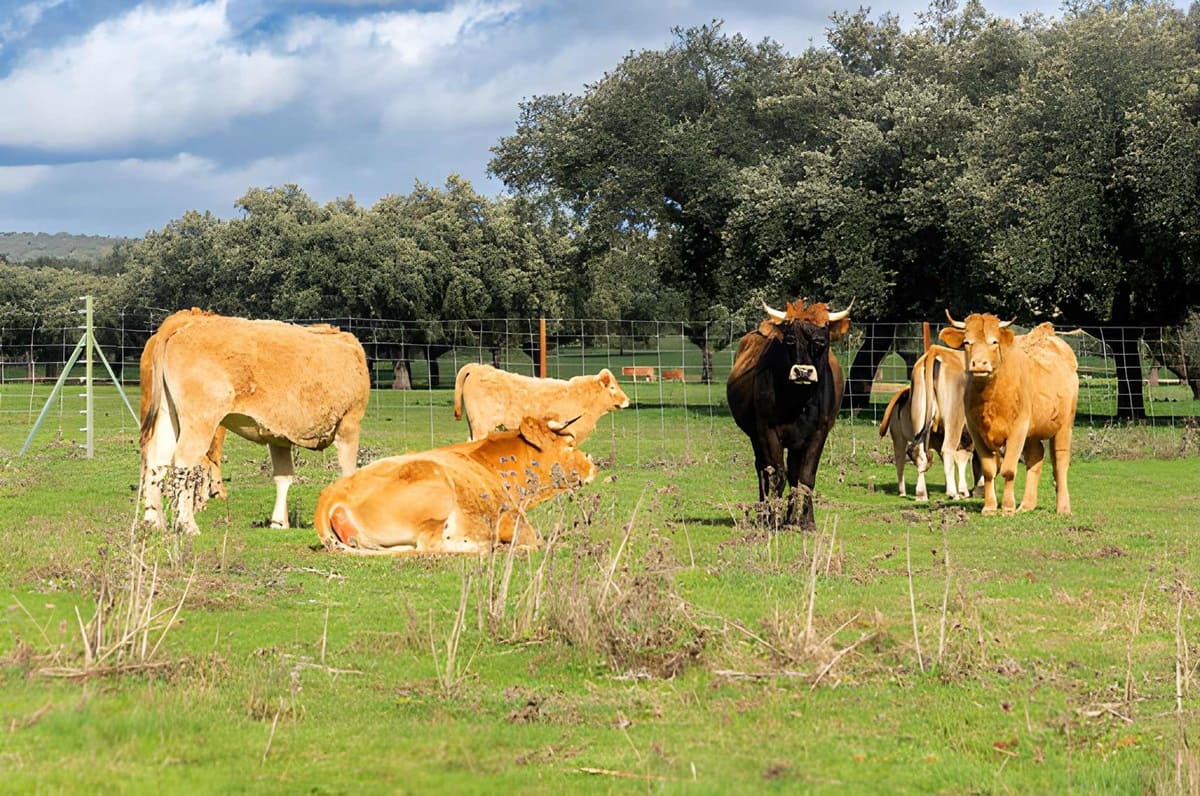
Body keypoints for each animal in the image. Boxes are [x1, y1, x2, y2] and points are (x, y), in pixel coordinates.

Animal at [140, 310, 370, 535]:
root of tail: (189, 320)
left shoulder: (278, 437)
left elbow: (284, 477)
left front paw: (279, 523)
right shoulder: (350, 424)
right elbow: (348, 474)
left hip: (167, 415)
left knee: (156, 461)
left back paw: (153, 521)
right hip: (200, 421)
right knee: (183, 462)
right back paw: (187, 525)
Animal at [313, 416, 596, 555]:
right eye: (570, 444)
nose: (593, 466)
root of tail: (333, 491)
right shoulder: (512, 519)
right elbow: (533, 539)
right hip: (437, 497)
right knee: (430, 546)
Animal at [726, 299, 851, 531]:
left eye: (821, 341)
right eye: (791, 340)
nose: (803, 372)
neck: (798, 401)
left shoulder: (818, 433)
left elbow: (806, 477)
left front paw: (806, 522)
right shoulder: (767, 431)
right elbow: (776, 475)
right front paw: (772, 518)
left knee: (793, 473)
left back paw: (792, 518)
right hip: (756, 436)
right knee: (763, 470)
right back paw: (765, 514)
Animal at [938, 312, 1079, 516]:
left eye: (994, 342)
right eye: (966, 342)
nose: (979, 364)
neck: (990, 398)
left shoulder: (1017, 429)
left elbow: (1008, 470)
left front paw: (1007, 507)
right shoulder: (976, 431)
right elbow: (989, 471)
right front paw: (989, 507)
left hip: (1065, 424)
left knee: (1060, 460)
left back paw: (1063, 508)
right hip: (1032, 432)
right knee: (1036, 457)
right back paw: (1027, 505)